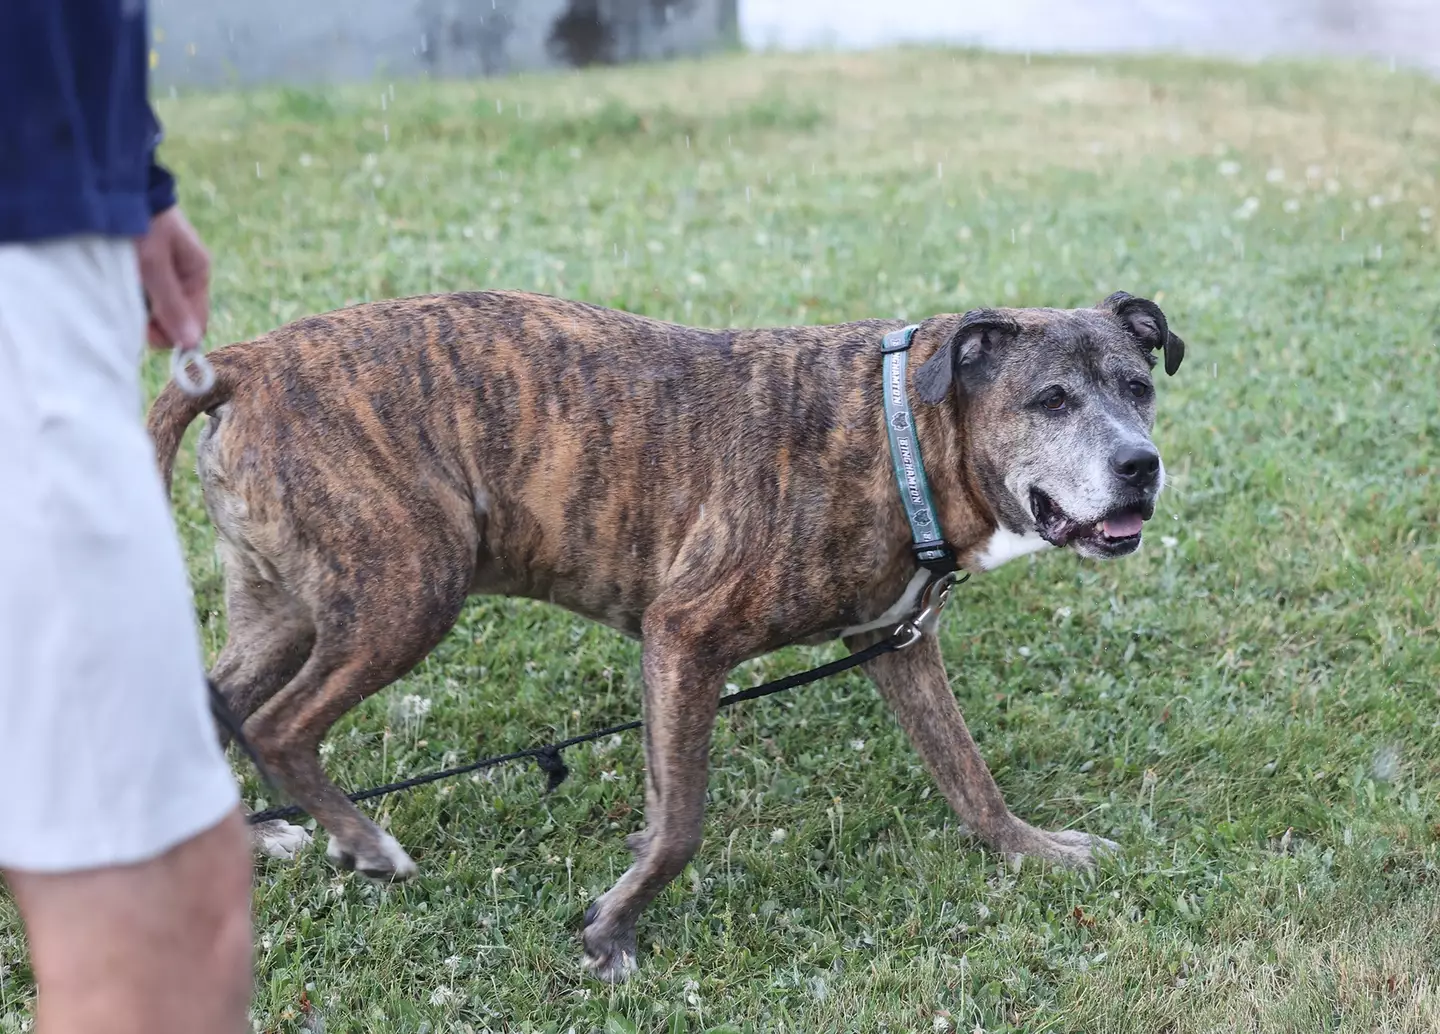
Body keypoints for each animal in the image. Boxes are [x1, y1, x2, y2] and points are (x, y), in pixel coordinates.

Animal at [146, 288, 1186, 985]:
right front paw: (613, 929)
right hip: (407, 592)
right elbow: (681, 822)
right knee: (280, 727)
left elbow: (966, 772)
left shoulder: (898, 646)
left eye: (1139, 386)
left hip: (288, 607)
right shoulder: (684, 639)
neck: (897, 429)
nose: (1142, 466)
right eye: (1051, 400)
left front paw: (1030, 850)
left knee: (221, 709)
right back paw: (363, 843)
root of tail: (246, 360)